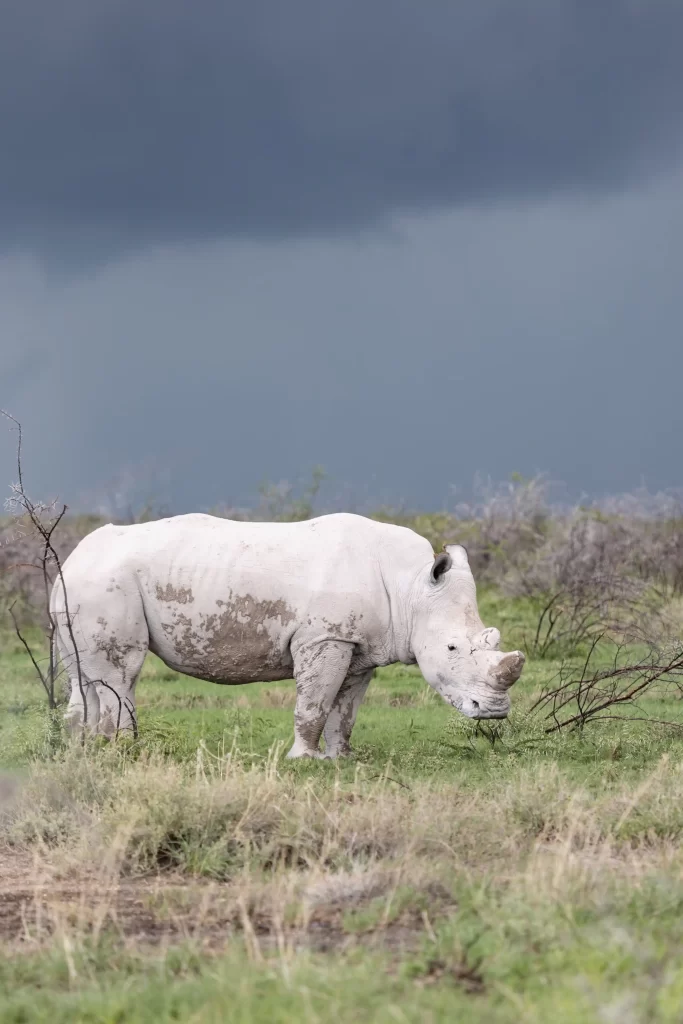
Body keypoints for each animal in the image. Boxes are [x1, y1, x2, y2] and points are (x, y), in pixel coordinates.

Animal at [50, 512, 528, 761]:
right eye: (451, 648)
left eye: (493, 639)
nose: (494, 711)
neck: (410, 586)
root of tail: (71, 560)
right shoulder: (324, 638)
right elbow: (313, 704)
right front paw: (304, 761)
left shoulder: (358, 645)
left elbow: (345, 711)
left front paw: (341, 760)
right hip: (105, 584)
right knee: (122, 673)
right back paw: (123, 753)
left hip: (78, 590)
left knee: (82, 677)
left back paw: (82, 752)